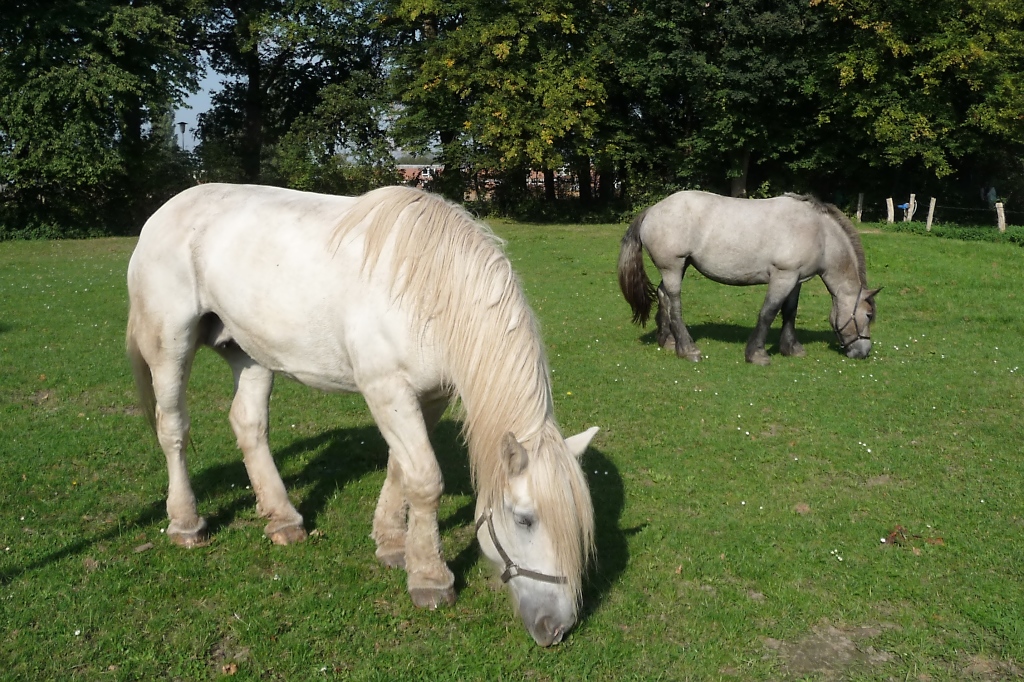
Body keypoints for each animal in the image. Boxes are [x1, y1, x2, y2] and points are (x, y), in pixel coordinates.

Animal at [124, 182, 598, 643]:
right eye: (524, 520)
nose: (556, 628)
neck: (428, 291)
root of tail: (162, 214)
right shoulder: (386, 389)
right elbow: (425, 480)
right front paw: (430, 578)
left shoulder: (428, 397)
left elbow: (401, 470)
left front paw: (392, 543)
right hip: (170, 346)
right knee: (173, 429)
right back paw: (186, 522)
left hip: (249, 352)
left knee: (249, 424)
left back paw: (283, 518)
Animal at [618, 188, 876, 364]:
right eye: (868, 315)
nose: (863, 352)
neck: (820, 233)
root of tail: (652, 210)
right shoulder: (782, 277)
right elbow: (769, 312)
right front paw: (757, 354)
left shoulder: (795, 280)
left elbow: (789, 312)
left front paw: (791, 348)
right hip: (673, 267)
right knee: (674, 303)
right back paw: (688, 349)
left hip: (678, 267)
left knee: (663, 296)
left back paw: (669, 342)